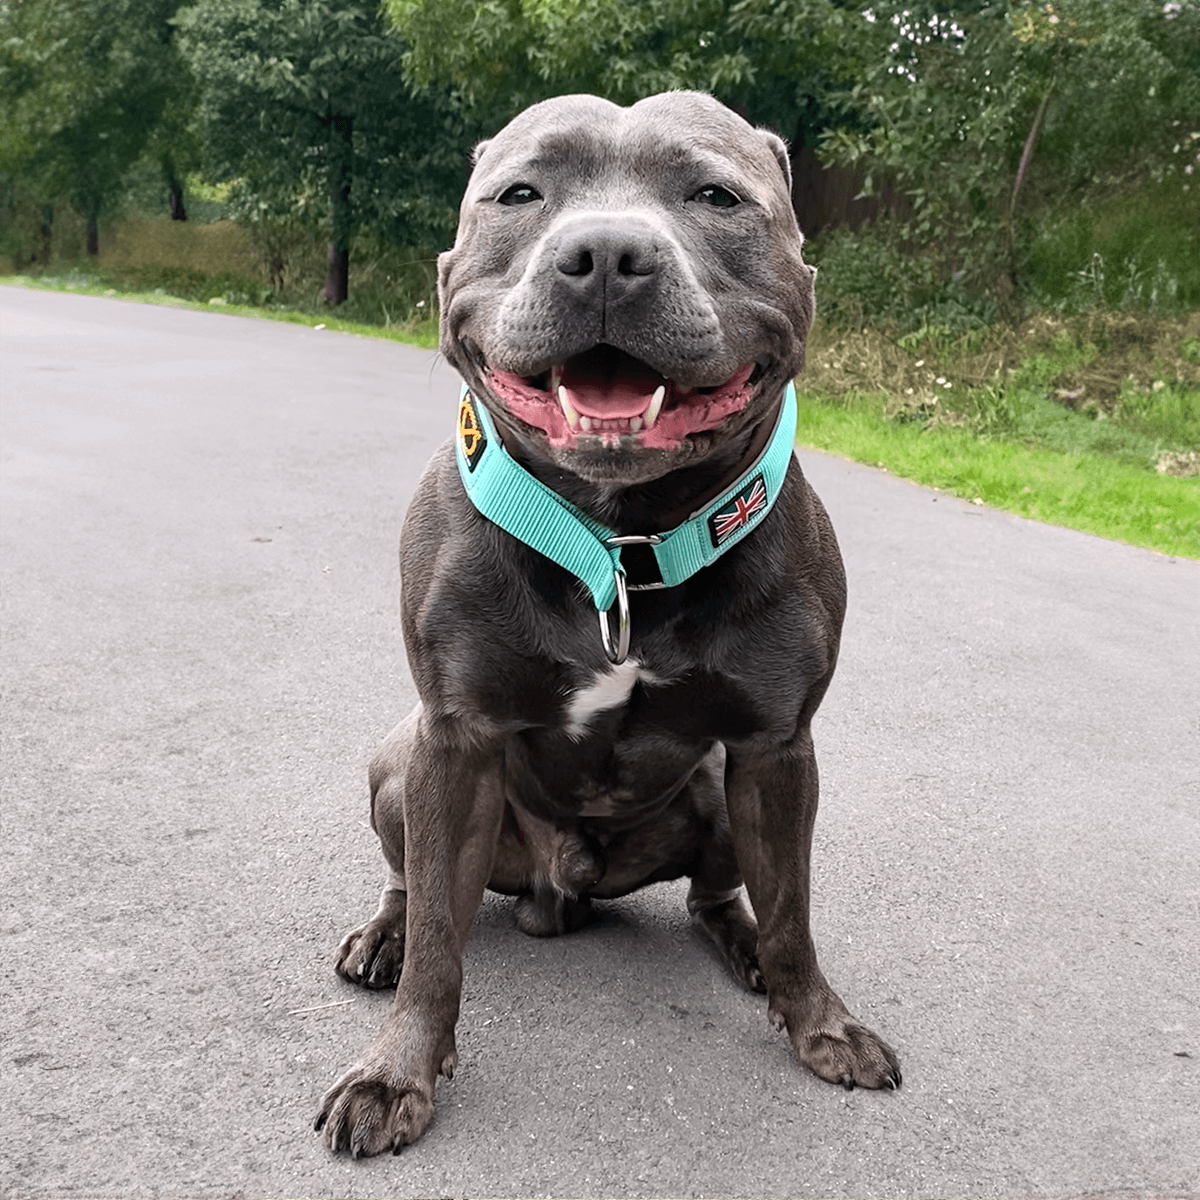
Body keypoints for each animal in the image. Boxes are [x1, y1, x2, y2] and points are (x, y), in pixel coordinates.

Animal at [314, 88, 897, 1156]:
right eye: (520, 193)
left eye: (715, 195)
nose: (607, 254)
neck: (619, 541)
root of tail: (562, 892)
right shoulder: (452, 741)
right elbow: (438, 950)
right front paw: (396, 1072)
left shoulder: (778, 749)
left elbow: (795, 911)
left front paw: (820, 1023)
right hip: (398, 767)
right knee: (417, 888)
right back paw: (384, 933)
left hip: (721, 788)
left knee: (721, 895)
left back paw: (743, 946)